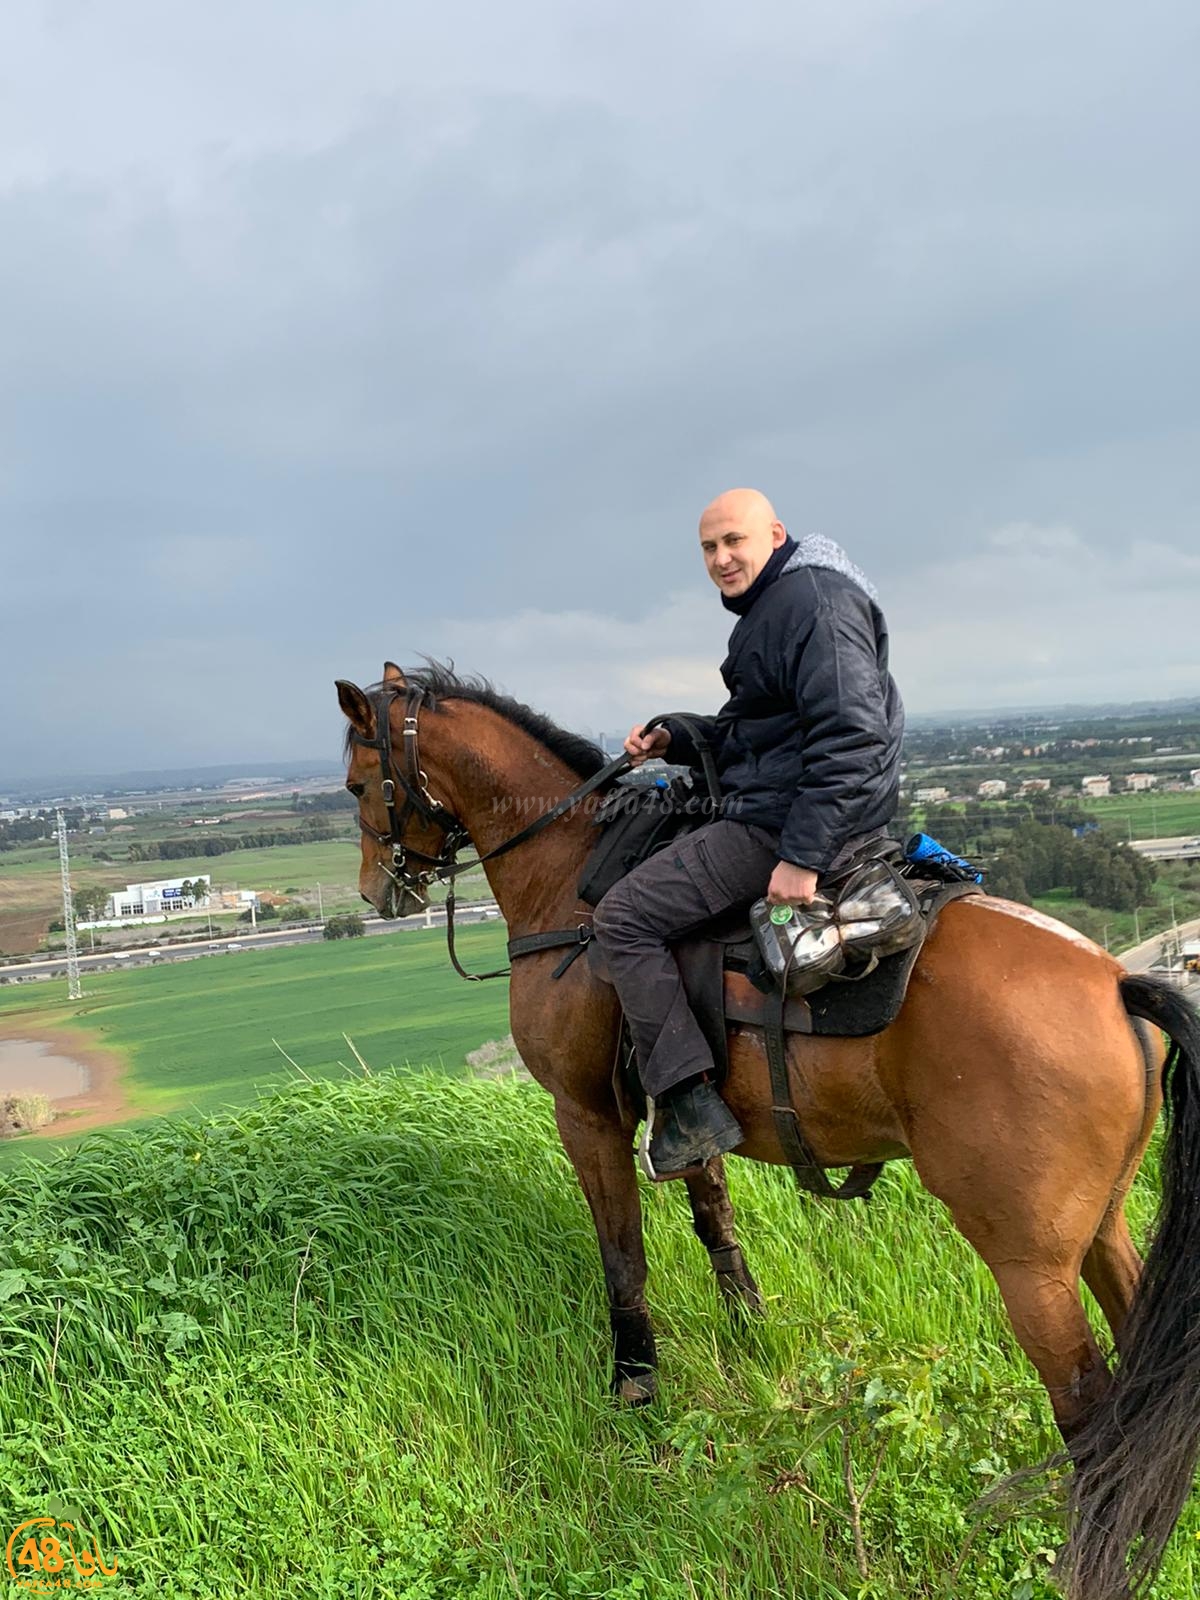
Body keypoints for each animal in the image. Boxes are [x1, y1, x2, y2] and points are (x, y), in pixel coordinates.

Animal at [339, 656, 1200, 1593]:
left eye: (359, 784)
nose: (378, 892)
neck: (571, 881)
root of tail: (1116, 984)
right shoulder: (679, 1104)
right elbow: (713, 1215)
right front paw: (748, 1328)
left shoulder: (586, 1115)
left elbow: (622, 1255)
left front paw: (635, 1385)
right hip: (1105, 1227)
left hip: (1029, 1264)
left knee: (1088, 1408)